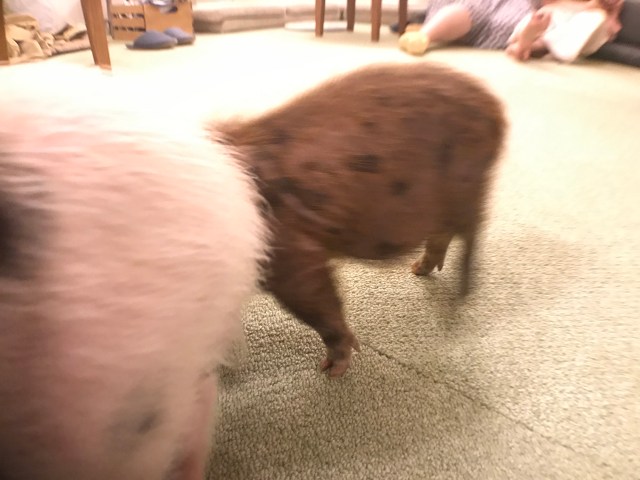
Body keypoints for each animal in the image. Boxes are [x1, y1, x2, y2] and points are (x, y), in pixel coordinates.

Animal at [215, 62, 507, 378]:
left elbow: (322, 309)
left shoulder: (293, 257)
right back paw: (418, 270)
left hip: (468, 184)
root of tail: (496, 108)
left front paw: (331, 371)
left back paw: (459, 295)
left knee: (472, 233)